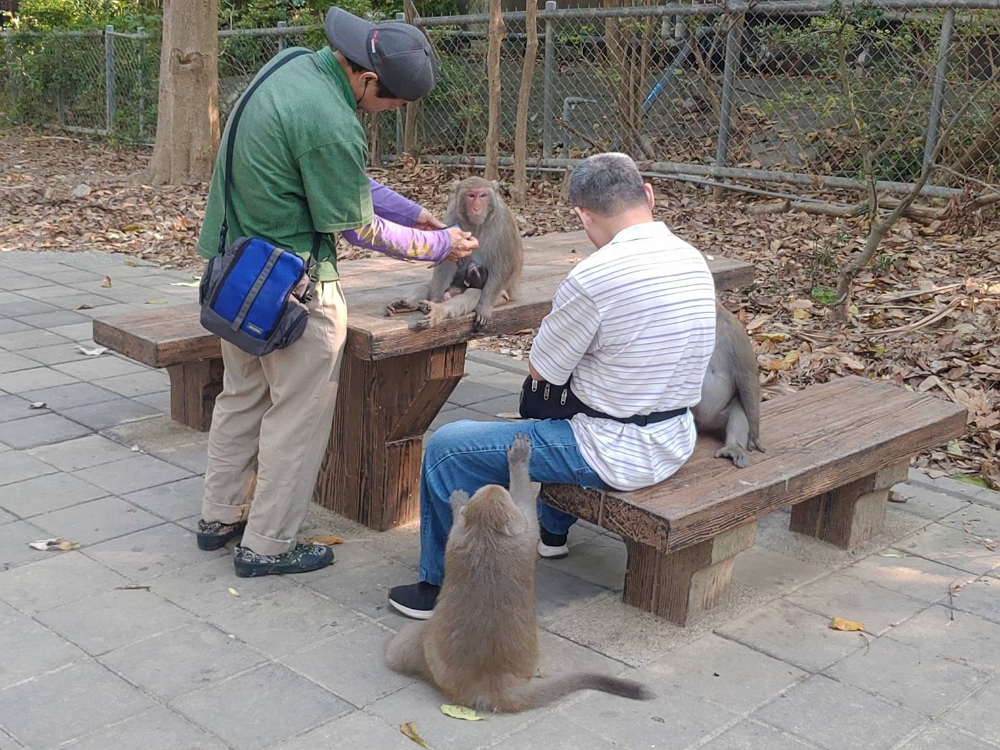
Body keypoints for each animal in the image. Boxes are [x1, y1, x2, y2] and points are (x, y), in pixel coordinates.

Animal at [382, 179, 524, 332]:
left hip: (502, 297)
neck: (478, 224)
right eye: (471, 195)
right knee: (429, 286)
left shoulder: (504, 222)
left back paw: (438, 311)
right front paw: (435, 300)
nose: (477, 208)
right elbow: (446, 261)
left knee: (473, 293)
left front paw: (484, 308)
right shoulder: (451, 215)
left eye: (483, 195)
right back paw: (408, 304)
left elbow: (503, 267)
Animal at [384, 432, 656, 712]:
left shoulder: (485, 533)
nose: (494, 486)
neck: (486, 533)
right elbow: (523, 504)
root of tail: (491, 686)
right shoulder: (513, 530)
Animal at [688, 302, 764, 468]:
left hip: (717, 418)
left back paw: (733, 447)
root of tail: (704, 425)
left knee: (737, 406)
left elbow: (747, 377)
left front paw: (754, 434)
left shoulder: (736, 331)